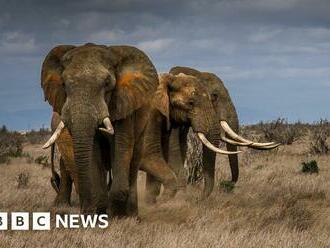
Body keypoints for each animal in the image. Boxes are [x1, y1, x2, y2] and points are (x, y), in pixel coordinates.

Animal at [40, 42, 158, 215]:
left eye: (107, 83)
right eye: (64, 84)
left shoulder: (124, 104)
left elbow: (121, 147)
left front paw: (118, 215)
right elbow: (93, 151)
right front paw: (99, 212)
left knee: (133, 162)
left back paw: (132, 215)